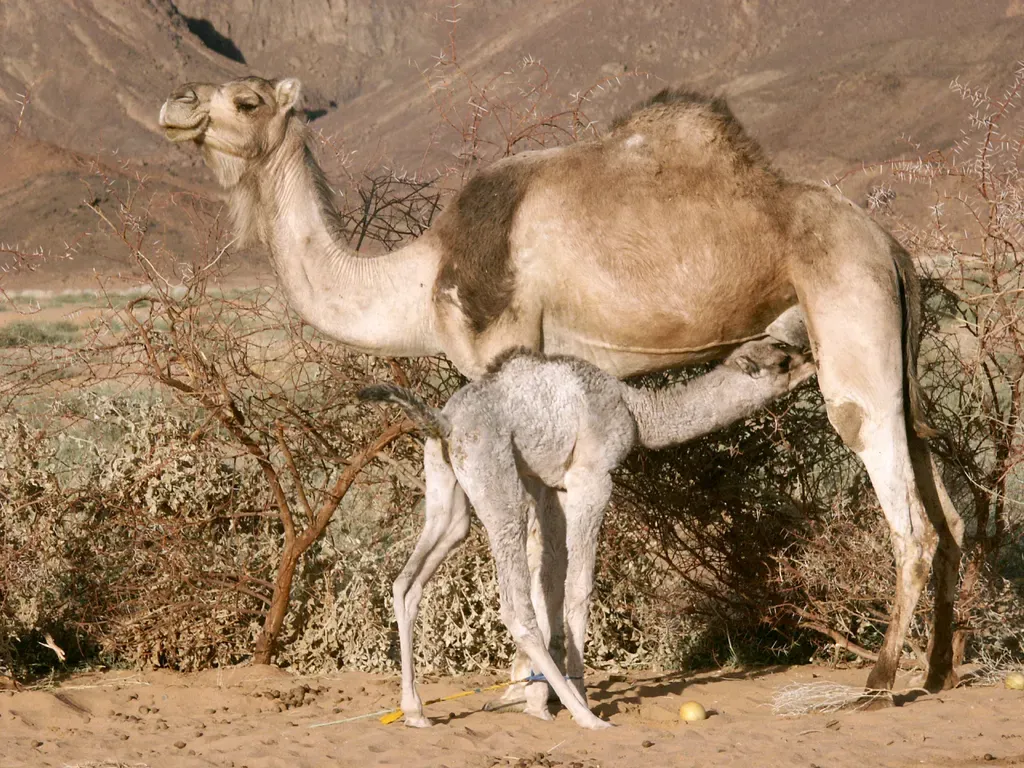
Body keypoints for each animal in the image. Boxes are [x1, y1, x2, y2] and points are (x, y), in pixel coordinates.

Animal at [360, 337, 816, 729]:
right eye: (783, 360)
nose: (812, 358)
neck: (636, 411)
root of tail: (444, 421)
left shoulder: (550, 487)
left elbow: (551, 588)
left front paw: (537, 704)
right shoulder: (590, 479)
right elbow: (578, 590)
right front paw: (572, 698)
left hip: (447, 487)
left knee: (409, 580)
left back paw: (415, 712)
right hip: (495, 480)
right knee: (514, 605)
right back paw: (586, 717)